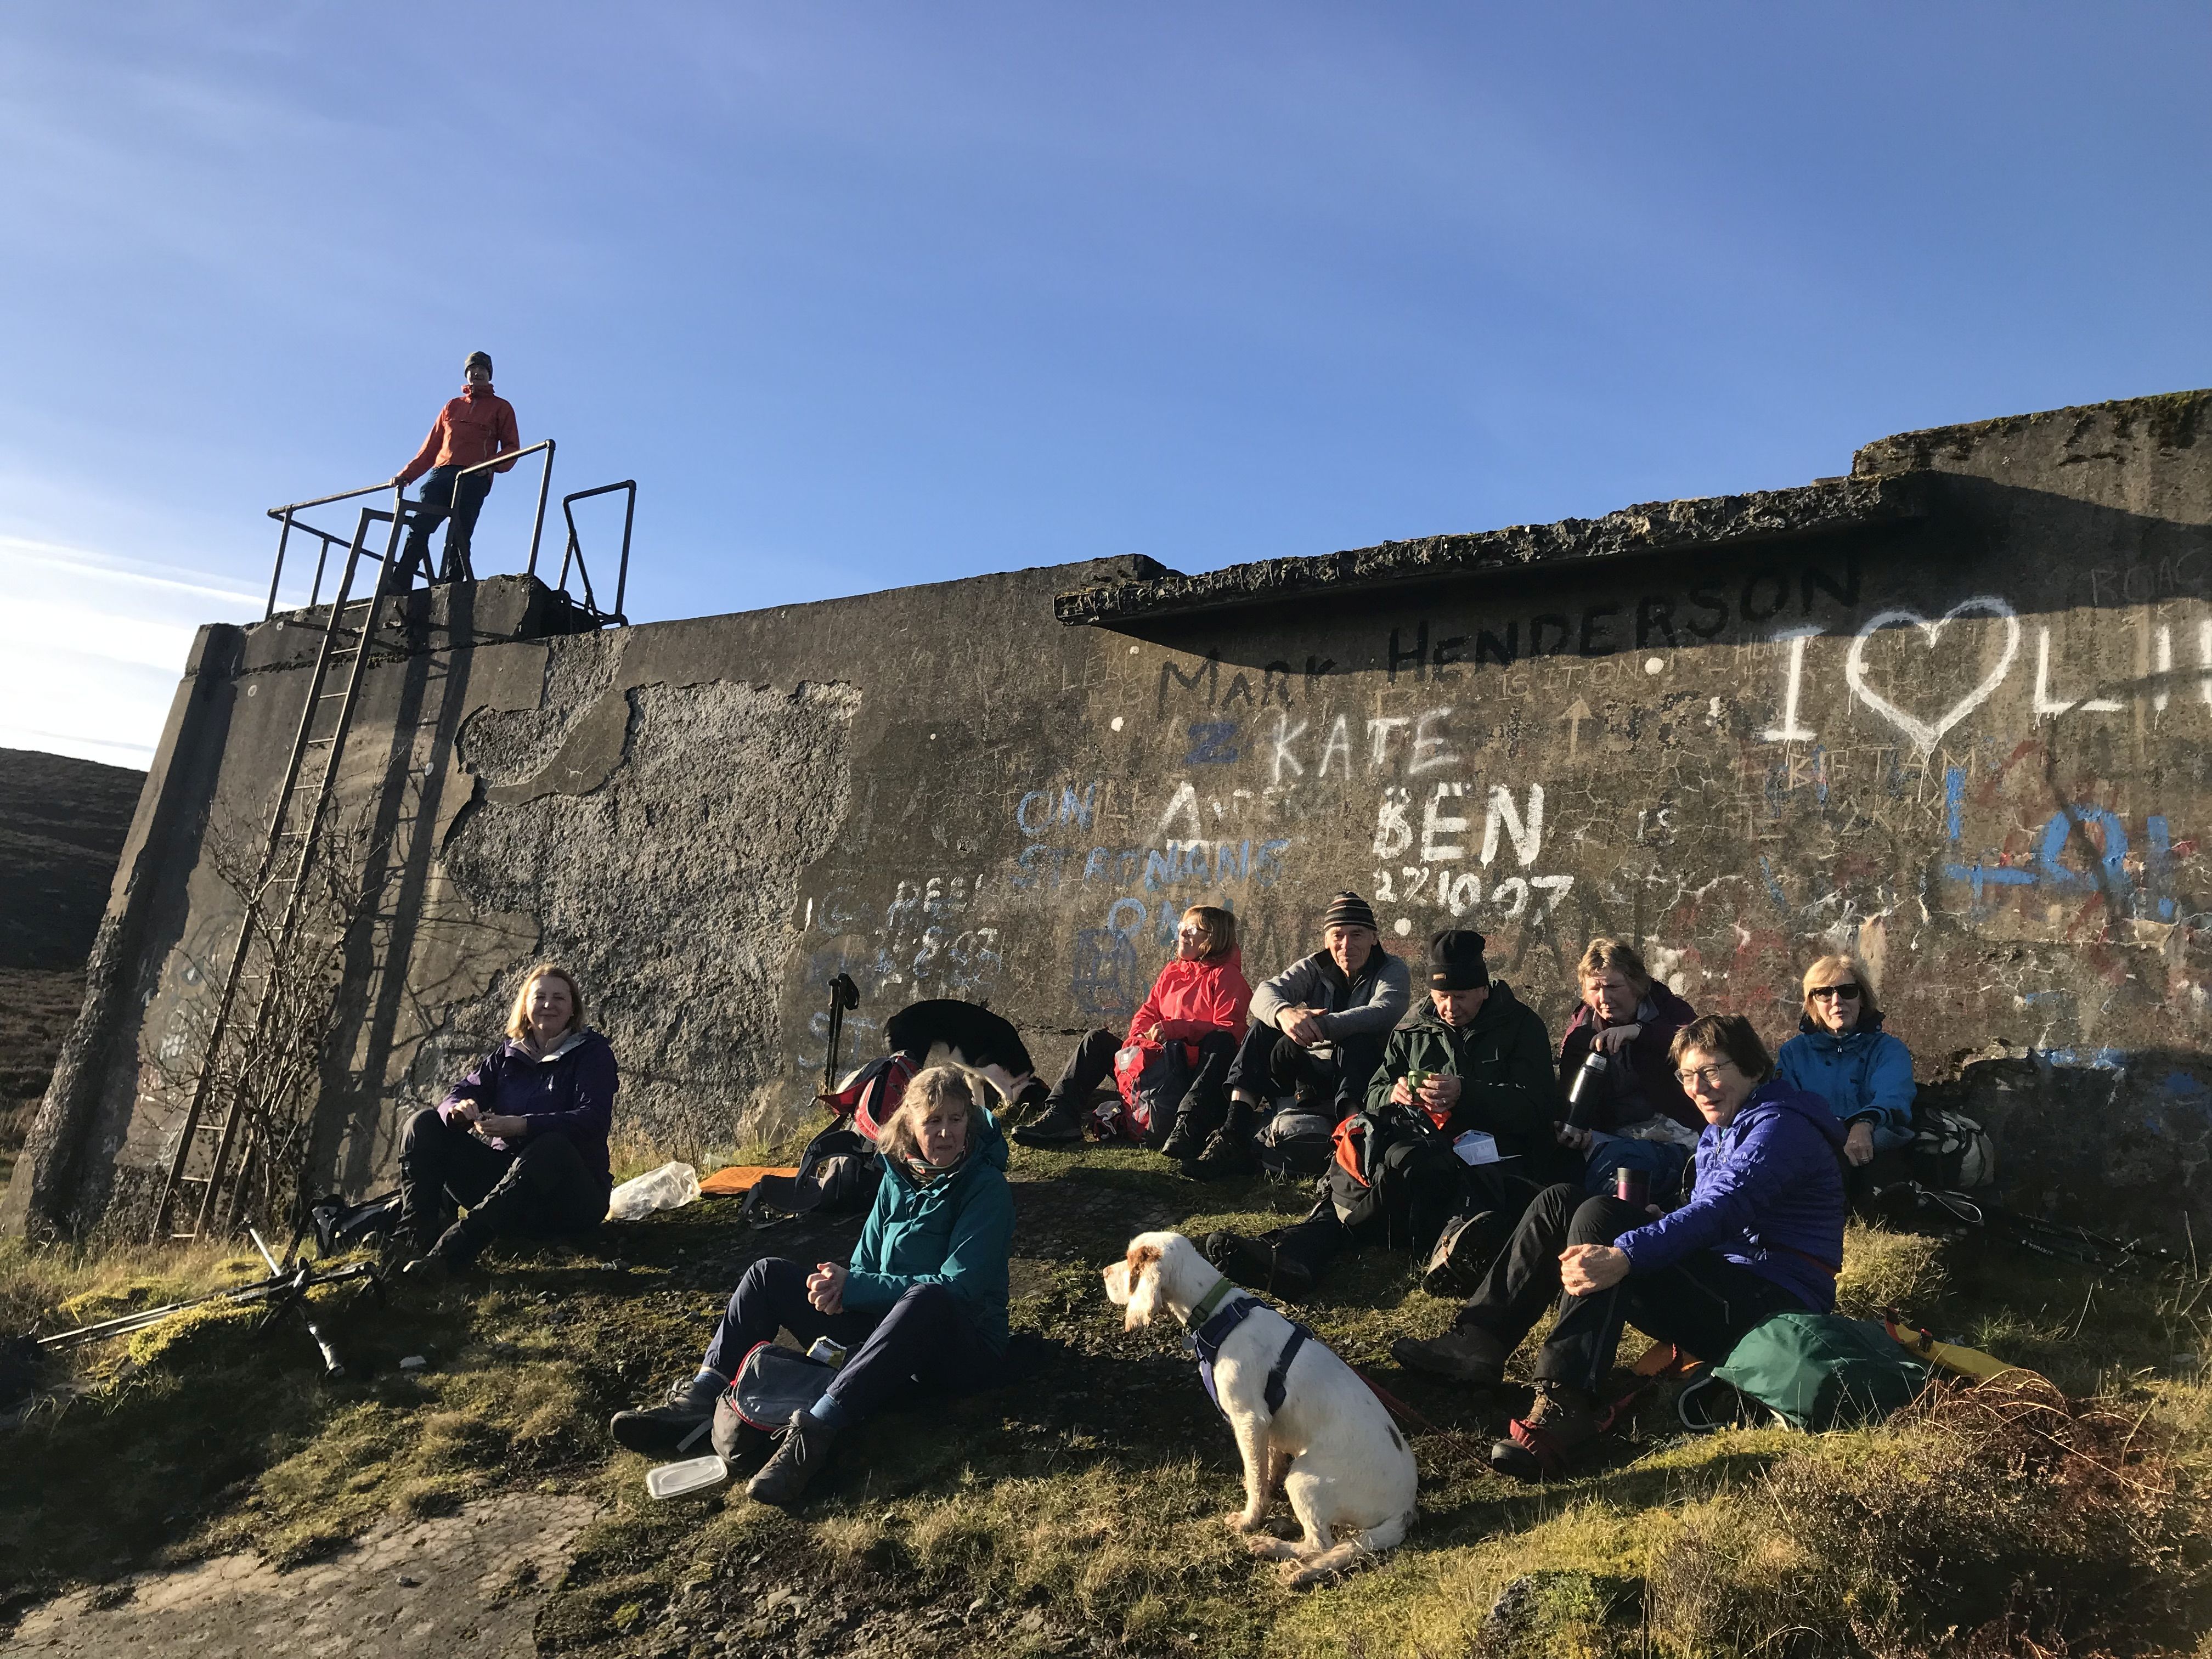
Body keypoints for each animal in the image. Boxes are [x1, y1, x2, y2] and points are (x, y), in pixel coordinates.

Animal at [1101, 1229, 1415, 1593]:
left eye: (1132, 1263)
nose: (1104, 1273)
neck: (1220, 1316)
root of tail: (1405, 1511)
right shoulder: (1270, 1426)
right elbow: (1265, 1468)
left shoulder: (1250, 1420)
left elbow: (1255, 1479)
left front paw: (1250, 1519)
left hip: (1305, 1478)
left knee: (1321, 1545)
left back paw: (1278, 1551)